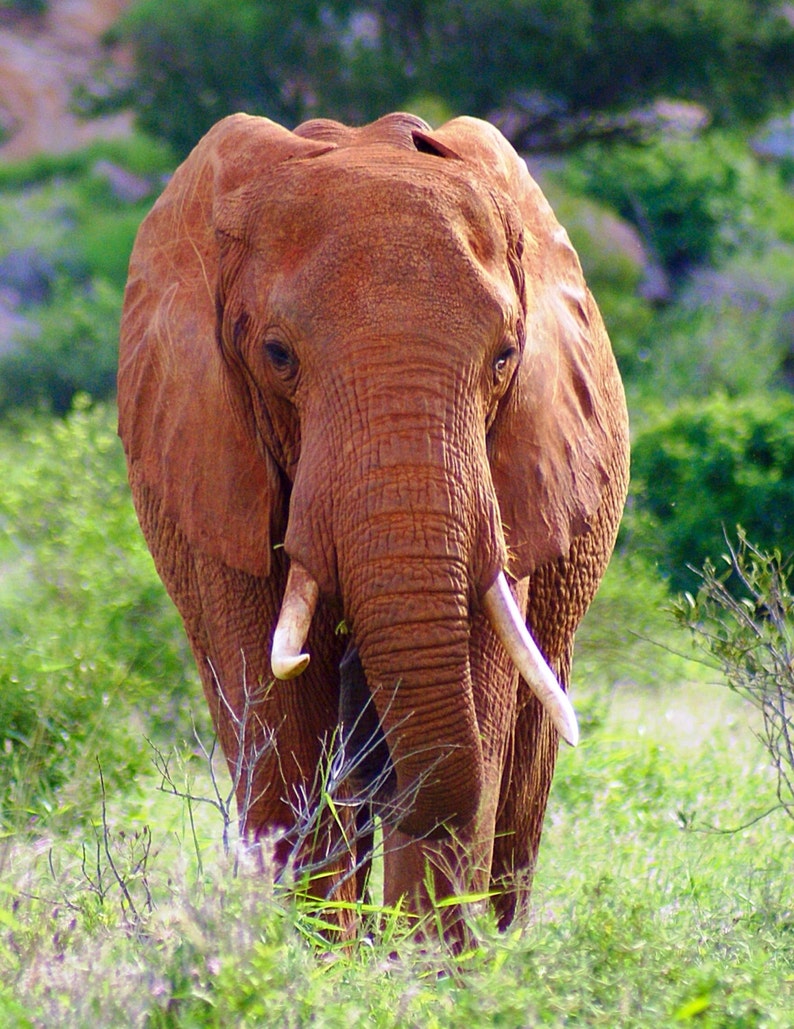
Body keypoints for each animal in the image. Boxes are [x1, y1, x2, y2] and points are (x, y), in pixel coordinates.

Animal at [117, 111, 629, 939]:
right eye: (277, 354)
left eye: (505, 357)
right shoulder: (213, 457)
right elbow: (284, 732)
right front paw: (320, 961)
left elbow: (479, 721)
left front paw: (423, 966)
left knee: (521, 773)